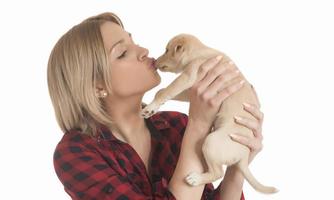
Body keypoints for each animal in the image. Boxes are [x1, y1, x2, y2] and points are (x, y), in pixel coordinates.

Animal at [142, 33, 280, 193]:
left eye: (166, 50)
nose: (154, 61)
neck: (199, 51)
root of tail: (244, 158)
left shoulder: (188, 76)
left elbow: (166, 91)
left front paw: (150, 107)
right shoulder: (191, 90)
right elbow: (163, 91)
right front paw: (152, 106)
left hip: (210, 143)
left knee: (217, 173)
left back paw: (195, 179)